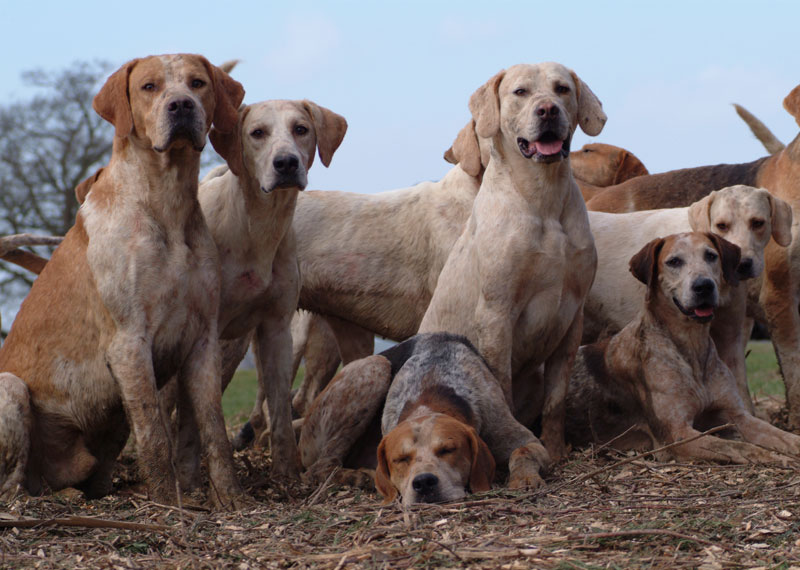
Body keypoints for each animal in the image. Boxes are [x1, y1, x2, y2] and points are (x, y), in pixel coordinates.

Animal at [0, 54, 245, 506]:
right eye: (149, 87)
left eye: (197, 83)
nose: (181, 106)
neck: (166, 204)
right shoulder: (130, 342)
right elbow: (154, 436)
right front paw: (169, 505)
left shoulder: (204, 340)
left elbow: (215, 433)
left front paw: (232, 499)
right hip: (11, 389)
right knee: (12, 484)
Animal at [418, 62, 608, 464]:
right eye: (520, 92)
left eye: (562, 89)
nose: (548, 110)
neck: (544, 199)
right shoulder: (496, 314)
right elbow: (501, 388)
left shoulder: (573, 317)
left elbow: (556, 400)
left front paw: (556, 448)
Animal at [564, 231, 800, 462]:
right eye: (674, 261)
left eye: (711, 256)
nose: (704, 285)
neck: (692, 345)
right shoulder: (677, 435)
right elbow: (740, 448)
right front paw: (776, 458)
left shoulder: (737, 415)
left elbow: (783, 436)